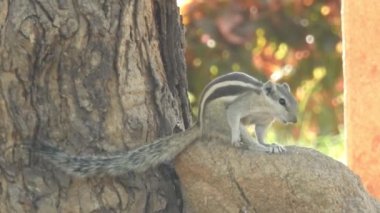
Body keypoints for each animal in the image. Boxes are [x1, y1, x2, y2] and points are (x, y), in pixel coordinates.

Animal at [35, 72, 296, 177]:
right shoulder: (239, 108)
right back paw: (247, 144)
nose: (294, 120)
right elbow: (237, 120)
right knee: (235, 131)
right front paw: (254, 145)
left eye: (293, 100)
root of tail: (201, 125)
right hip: (218, 120)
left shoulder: (263, 122)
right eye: (282, 101)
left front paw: (271, 145)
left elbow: (261, 133)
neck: (264, 105)